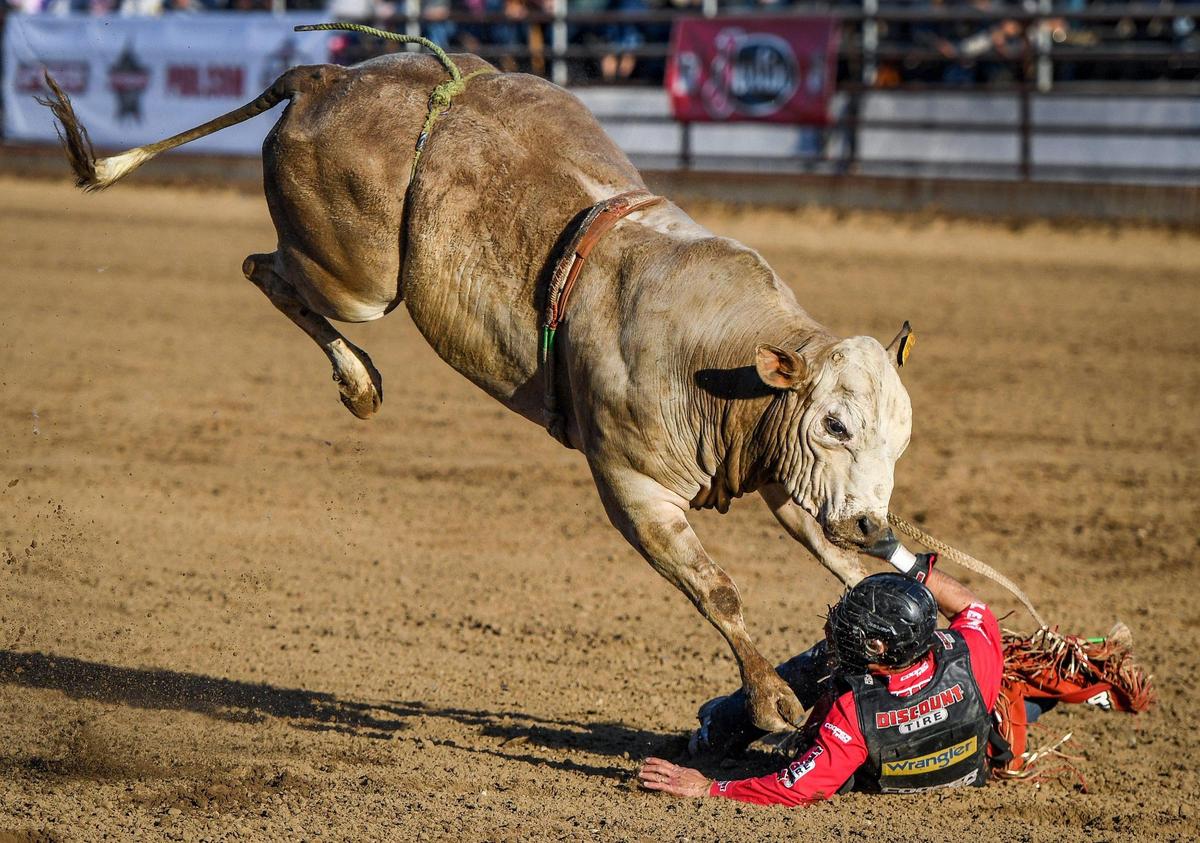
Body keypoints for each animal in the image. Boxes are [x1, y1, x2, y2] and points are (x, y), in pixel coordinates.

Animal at [40, 48, 912, 733]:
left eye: (895, 439)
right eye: (834, 423)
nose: (876, 519)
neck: (714, 353)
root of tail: (326, 77)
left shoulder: (780, 466)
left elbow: (833, 553)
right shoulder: (633, 487)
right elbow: (717, 590)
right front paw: (771, 702)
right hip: (358, 277)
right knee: (267, 270)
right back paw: (358, 381)